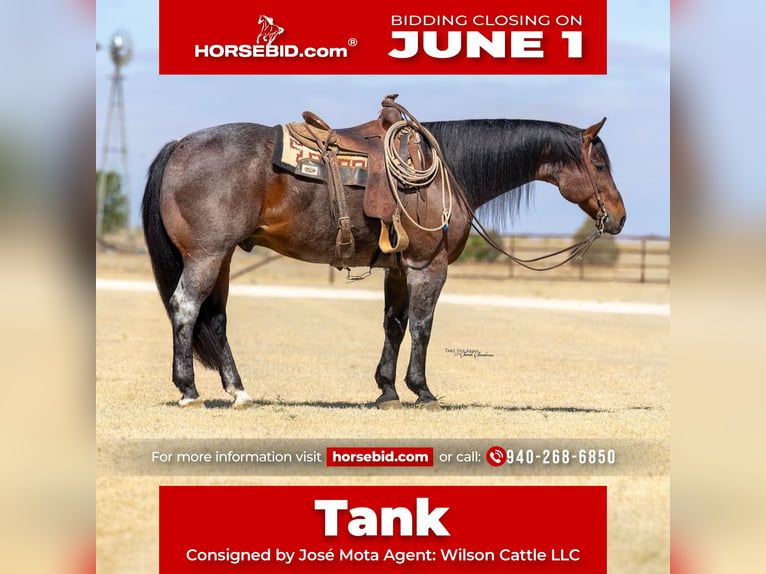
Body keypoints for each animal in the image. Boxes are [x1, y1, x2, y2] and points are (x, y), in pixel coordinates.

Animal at [141, 104, 626, 410]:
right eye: (600, 166)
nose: (619, 217)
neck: (447, 171)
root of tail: (179, 145)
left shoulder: (399, 270)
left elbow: (395, 324)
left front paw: (387, 390)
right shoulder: (429, 267)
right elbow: (423, 327)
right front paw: (422, 391)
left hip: (220, 258)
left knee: (216, 319)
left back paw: (239, 391)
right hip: (206, 256)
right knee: (185, 307)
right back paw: (188, 389)